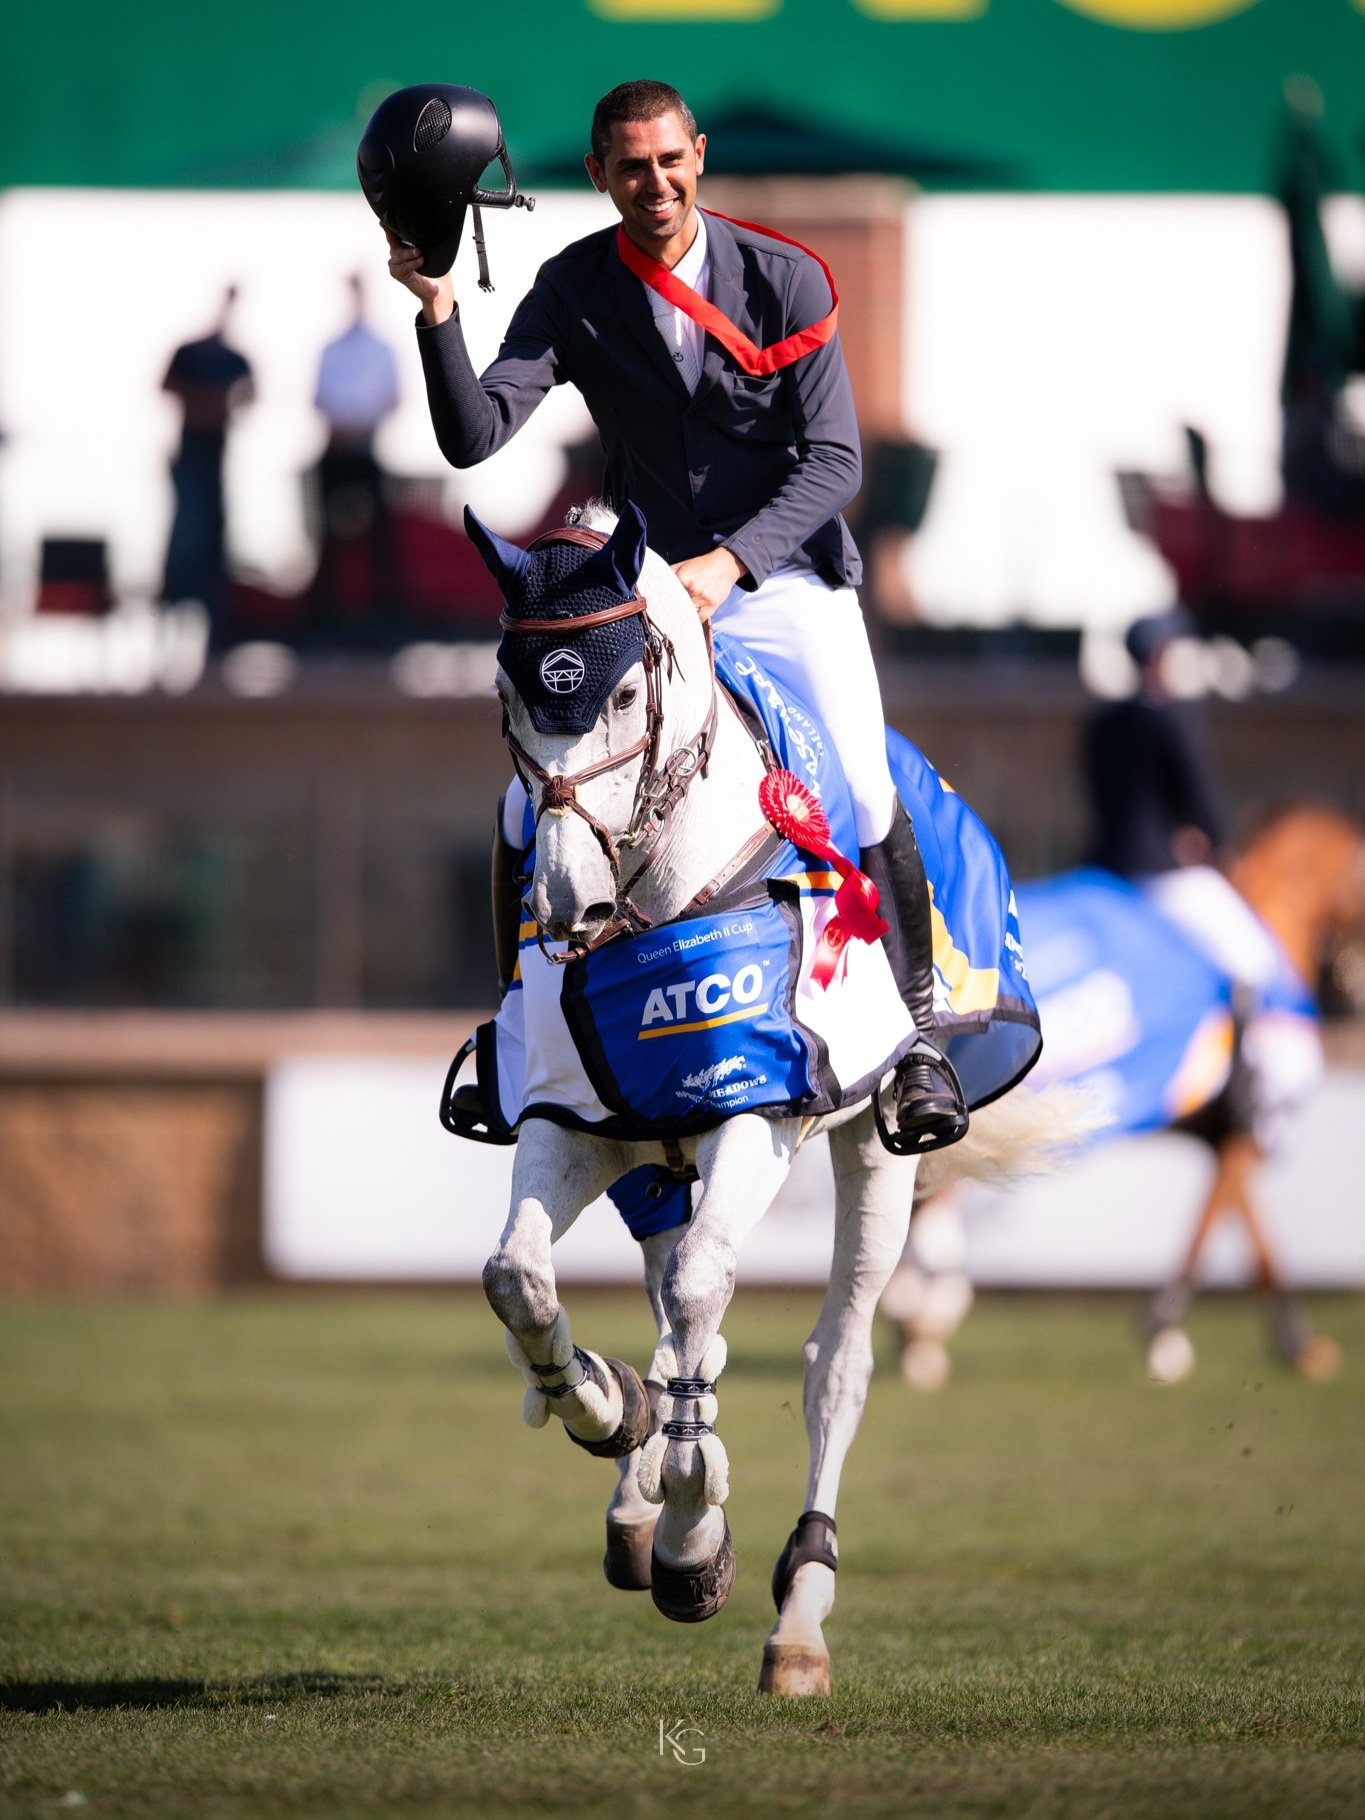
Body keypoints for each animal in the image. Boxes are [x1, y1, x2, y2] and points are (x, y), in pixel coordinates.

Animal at [455, 498, 1062, 1688]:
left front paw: (695, 1539)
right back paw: (636, 1478)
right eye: (508, 698)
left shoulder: (761, 1111)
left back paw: (797, 1618)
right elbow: (521, 1278)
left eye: (625, 695)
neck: (652, 898)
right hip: (656, 1159)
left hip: (873, 1150)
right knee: (678, 1304)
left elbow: (702, 1293)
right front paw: (603, 1409)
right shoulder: (572, 1118)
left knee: (837, 1358)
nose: (565, 903)